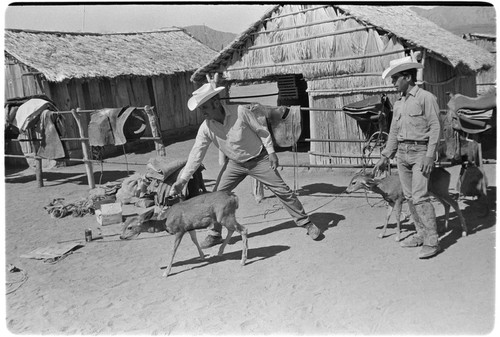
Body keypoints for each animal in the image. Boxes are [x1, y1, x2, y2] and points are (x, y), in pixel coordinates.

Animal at [119, 190, 248, 276]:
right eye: (124, 225)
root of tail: (234, 198)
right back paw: (221, 252)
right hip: (225, 217)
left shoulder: (179, 230)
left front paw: (166, 272)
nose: (121, 236)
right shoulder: (189, 228)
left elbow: (173, 250)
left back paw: (243, 260)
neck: (165, 221)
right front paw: (202, 256)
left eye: (130, 227)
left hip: (225, 215)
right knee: (233, 230)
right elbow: (194, 240)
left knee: (244, 229)